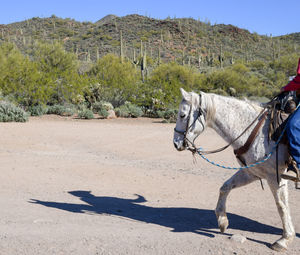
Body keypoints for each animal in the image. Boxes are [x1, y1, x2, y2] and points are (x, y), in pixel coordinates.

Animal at [173, 87, 296, 251]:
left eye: (182, 115)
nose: (176, 143)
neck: (260, 133)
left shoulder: (275, 176)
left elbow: (281, 205)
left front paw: (285, 239)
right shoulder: (251, 172)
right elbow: (225, 187)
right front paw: (222, 221)